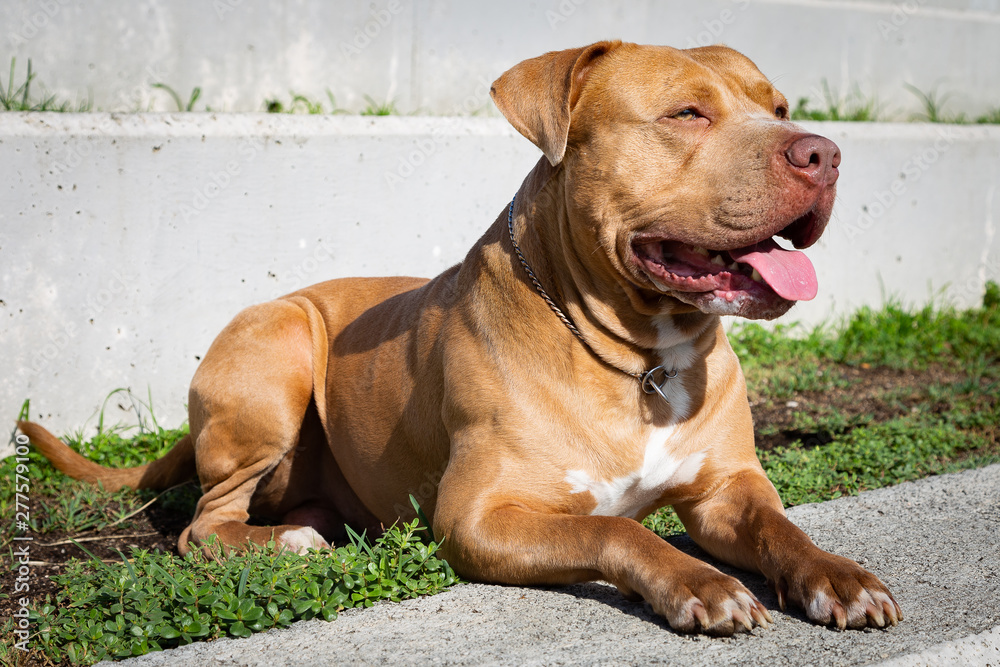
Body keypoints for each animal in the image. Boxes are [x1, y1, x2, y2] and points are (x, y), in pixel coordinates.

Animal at [21, 41, 900, 636]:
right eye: (687, 113)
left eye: (778, 109)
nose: (824, 152)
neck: (641, 356)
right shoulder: (479, 516)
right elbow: (613, 525)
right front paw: (700, 583)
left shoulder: (728, 490)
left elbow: (783, 527)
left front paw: (839, 576)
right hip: (275, 348)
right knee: (203, 525)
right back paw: (291, 539)